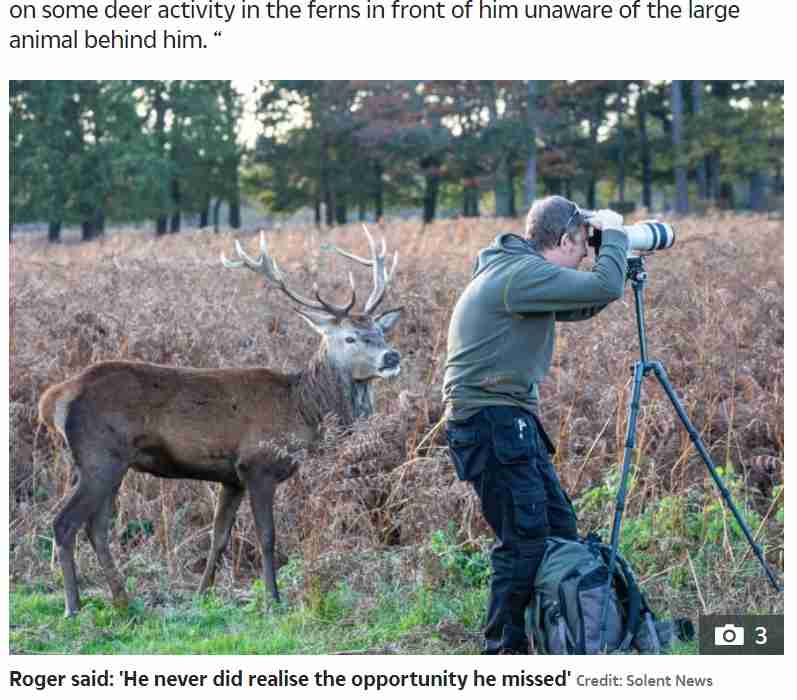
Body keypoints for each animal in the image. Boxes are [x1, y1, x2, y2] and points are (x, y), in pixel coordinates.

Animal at [38, 226, 403, 617]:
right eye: (350, 337)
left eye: (381, 333)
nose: (392, 356)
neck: (302, 408)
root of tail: (56, 397)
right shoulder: (259, 465)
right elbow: (267, 536)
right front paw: (273, 599)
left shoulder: (231, 477)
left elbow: (219, 536)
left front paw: (202, 594)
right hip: (99, 456)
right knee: (64, 523)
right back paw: (73, 606)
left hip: (111, 464)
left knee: (97, 528)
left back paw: (123, 601)